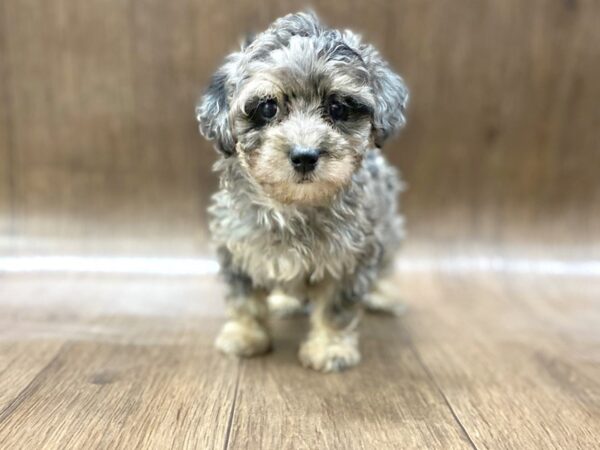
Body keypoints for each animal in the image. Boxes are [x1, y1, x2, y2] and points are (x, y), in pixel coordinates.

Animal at [197, 11, 408, 372]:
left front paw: (331, 348)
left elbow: (335, 309)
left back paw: (382, 294)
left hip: (387, 225)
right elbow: (245, 300)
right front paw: (244, 336)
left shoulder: (348, 258)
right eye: (267, 108)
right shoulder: (236, 247)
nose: (305, 156)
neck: (293, 206)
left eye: (338, 108)